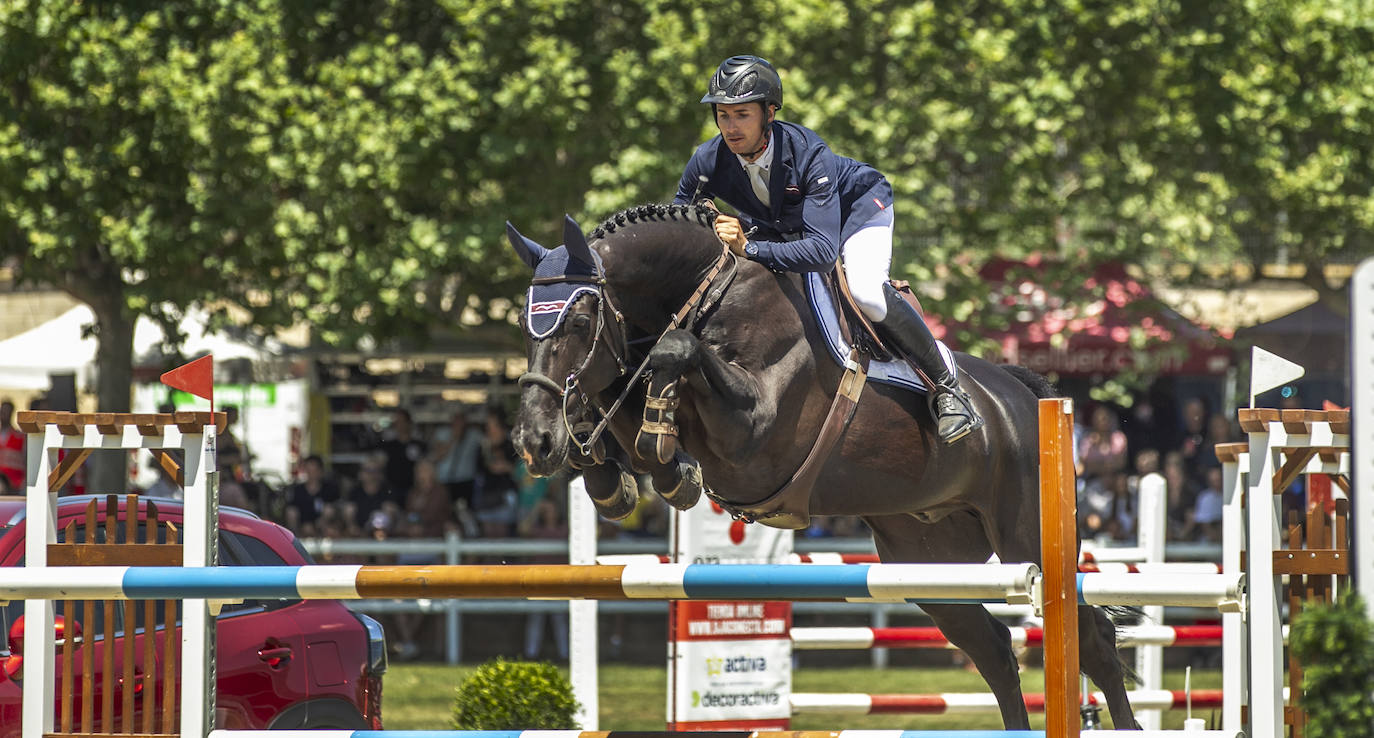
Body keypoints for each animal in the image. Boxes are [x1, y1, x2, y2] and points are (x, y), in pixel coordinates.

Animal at [505, 204, 1137, 725]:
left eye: (579, 323)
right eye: (523, 325)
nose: (533, 441)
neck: (710, 294)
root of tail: (1029, 397)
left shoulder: (753, 438)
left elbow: (673, 354)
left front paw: (667, 468)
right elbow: (622, 402)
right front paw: (606, 474)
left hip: (1028, 541)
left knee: (1095, 640)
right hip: (927, 561)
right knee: (995, 650)